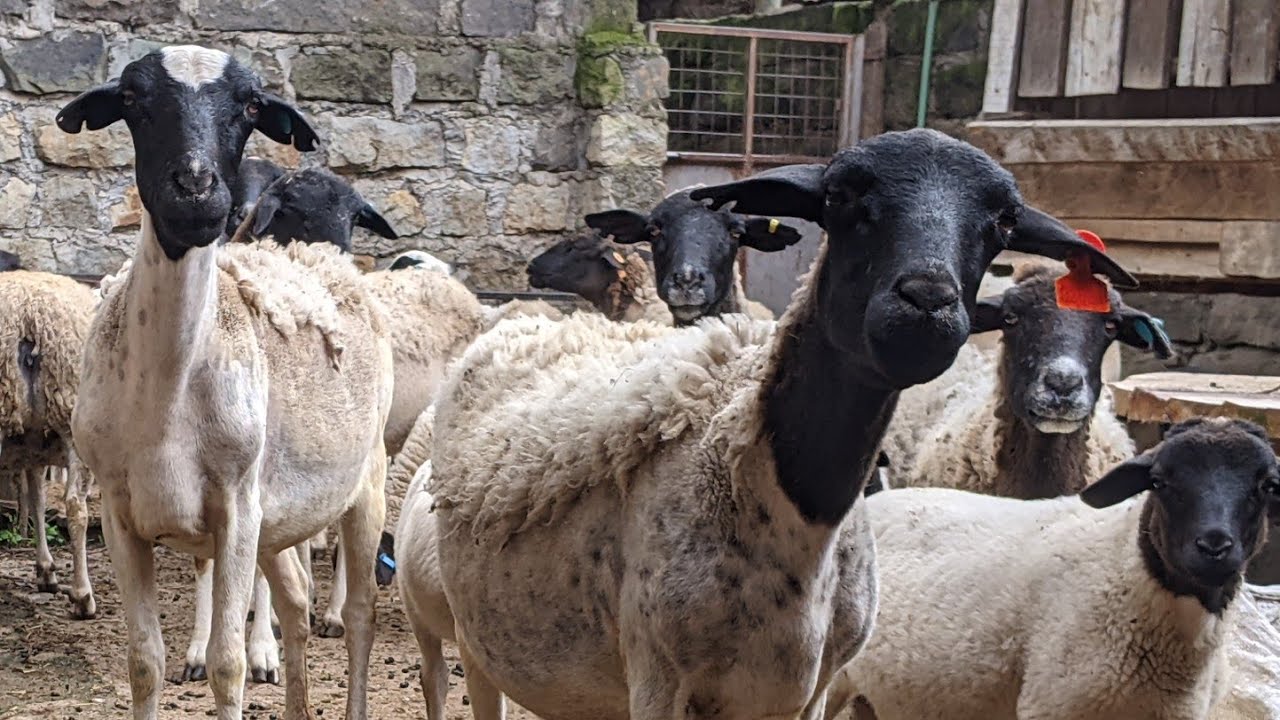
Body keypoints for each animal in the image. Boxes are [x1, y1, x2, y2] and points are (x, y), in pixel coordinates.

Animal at [0, 269, 98, 619]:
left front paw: (45, 570)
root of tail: (29, 316)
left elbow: (37, 500)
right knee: (76, 507)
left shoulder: (33, 446)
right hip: (72, 413)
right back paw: (83, 596)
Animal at [56, 46, 392, 720]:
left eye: (252, 106)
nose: (195, 188)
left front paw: (238, 663)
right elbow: (145, 662)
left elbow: (227, 664)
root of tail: (326, 262)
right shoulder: (122, 513)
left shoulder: (236, 509)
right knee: (295, 603)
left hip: (364, 483)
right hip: (278, 517)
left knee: (361, 617)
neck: (166, 393)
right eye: (130, 98)